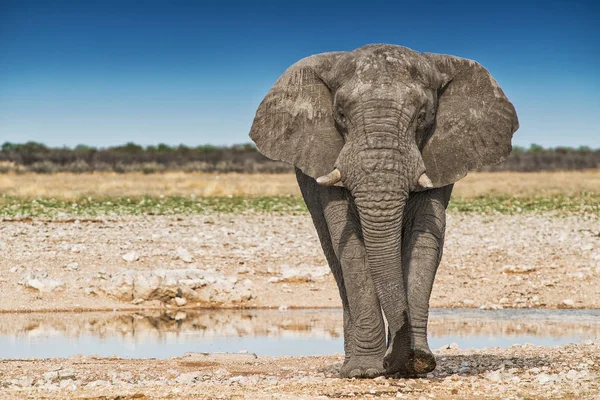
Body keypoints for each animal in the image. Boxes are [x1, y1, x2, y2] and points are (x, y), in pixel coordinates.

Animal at [246, 43, 516, 378]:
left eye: (423, 116)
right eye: (340, 114)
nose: (395, 361)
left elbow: (425, 240)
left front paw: (417, 362)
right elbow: (350, 247)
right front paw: (365, 371)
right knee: (334, 258)